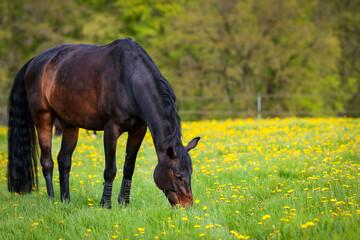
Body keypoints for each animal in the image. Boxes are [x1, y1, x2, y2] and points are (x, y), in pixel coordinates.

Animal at [6, 38, 200, 208]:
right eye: (178, 175)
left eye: (190, 172)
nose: (187, 205)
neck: (129, 80)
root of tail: (35, 62)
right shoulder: (110, 130)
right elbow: (110, 170)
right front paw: (105, 204)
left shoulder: (138, 130)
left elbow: (129, 167)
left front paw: (123, 203)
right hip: (43, 119)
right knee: (47, 161)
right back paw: (52, 199)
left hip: (68, 123)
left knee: (64, 160)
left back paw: (65, 200)